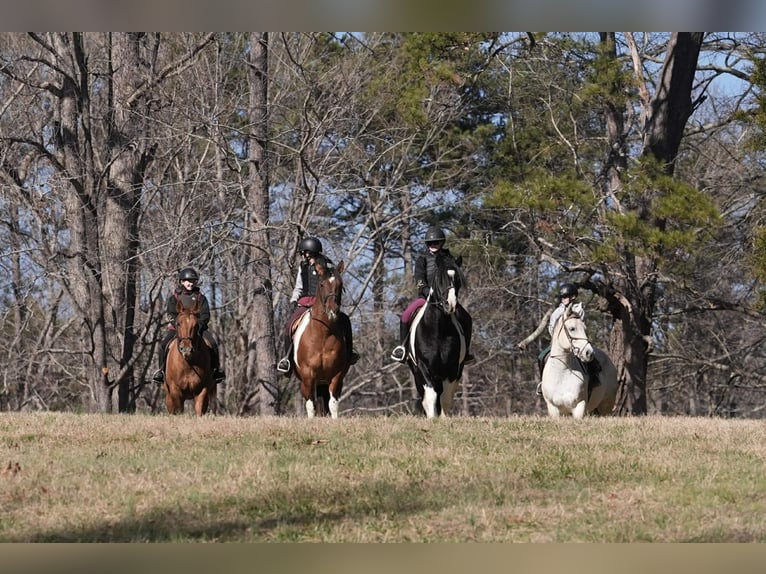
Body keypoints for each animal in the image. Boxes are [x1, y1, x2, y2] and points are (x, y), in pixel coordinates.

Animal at [292, 257, 350, 418]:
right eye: (322, 284)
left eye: (340, 284)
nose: (332, 310)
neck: (323, 334)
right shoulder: (308, 375)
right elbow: (310, 405)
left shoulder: (336, 375)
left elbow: (333, 404)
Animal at [406, 253, 469, 418]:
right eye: (440, 279)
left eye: (458, 280)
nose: (450, 305)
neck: (438, 330)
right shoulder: (423, 366)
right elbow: (431, 394)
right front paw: (432, 417)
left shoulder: (452, 368)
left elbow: (445, 397)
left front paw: (443, 418)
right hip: (417, 371)